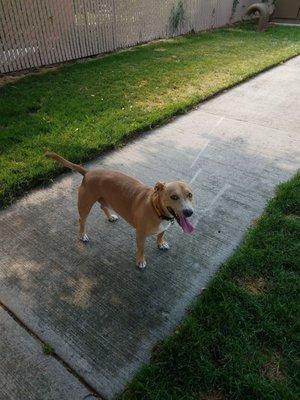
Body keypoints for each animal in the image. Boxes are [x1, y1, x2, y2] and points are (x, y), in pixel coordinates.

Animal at [44, 152, 195, 268]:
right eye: (174, 196)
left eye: (190, 195)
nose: (189, 212)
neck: (155, 208)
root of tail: (88, 172)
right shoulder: (140, 235)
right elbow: (141, 249)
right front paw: (140, 261)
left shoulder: (163, 227)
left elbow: (160, 234)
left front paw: (161, 243)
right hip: (85, 205)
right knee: (82, 220)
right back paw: (82, 235)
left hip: (105, 199)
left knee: (103, 206)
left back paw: (110, 216)